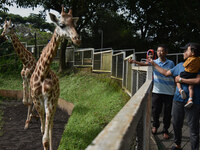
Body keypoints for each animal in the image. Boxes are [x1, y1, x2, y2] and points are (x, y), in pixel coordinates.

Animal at [29, 6, 80, 150]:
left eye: (74, 24)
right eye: (61, 24)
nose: (77, 39)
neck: (43, 73)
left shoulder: (50, 99)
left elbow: (45, 138)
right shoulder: (37, 100)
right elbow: (42, 133)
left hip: (55, 100)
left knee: (51, 123)